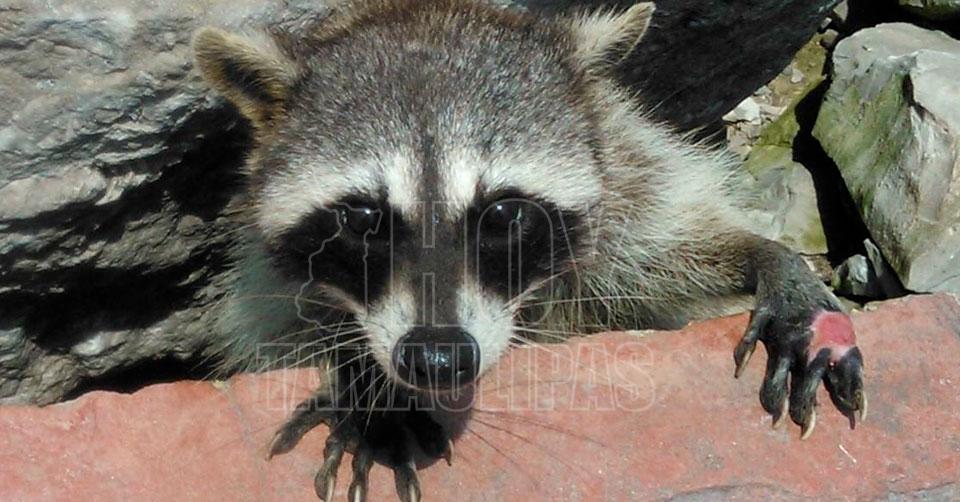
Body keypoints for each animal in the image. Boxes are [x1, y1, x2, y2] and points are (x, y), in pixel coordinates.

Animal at [193, 1, 866, 500]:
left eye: (502, 214)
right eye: (362, 219)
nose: (438, 359)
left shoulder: (630, 176)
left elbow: (678, 247)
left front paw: (771, 261)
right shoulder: (263, 284)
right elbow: (281, 339)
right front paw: (368, 385)